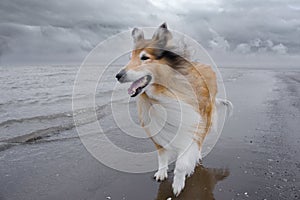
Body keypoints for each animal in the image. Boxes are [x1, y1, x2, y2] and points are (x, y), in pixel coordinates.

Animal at [115, 23, 232, 195]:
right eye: (130, 58)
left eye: (144, 57)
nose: (118, 75)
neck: (162, 95)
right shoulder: (158, 132)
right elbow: (162, 156)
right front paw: (162, 172)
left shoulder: (191, 126)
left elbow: (182, 162)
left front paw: (178, 184)